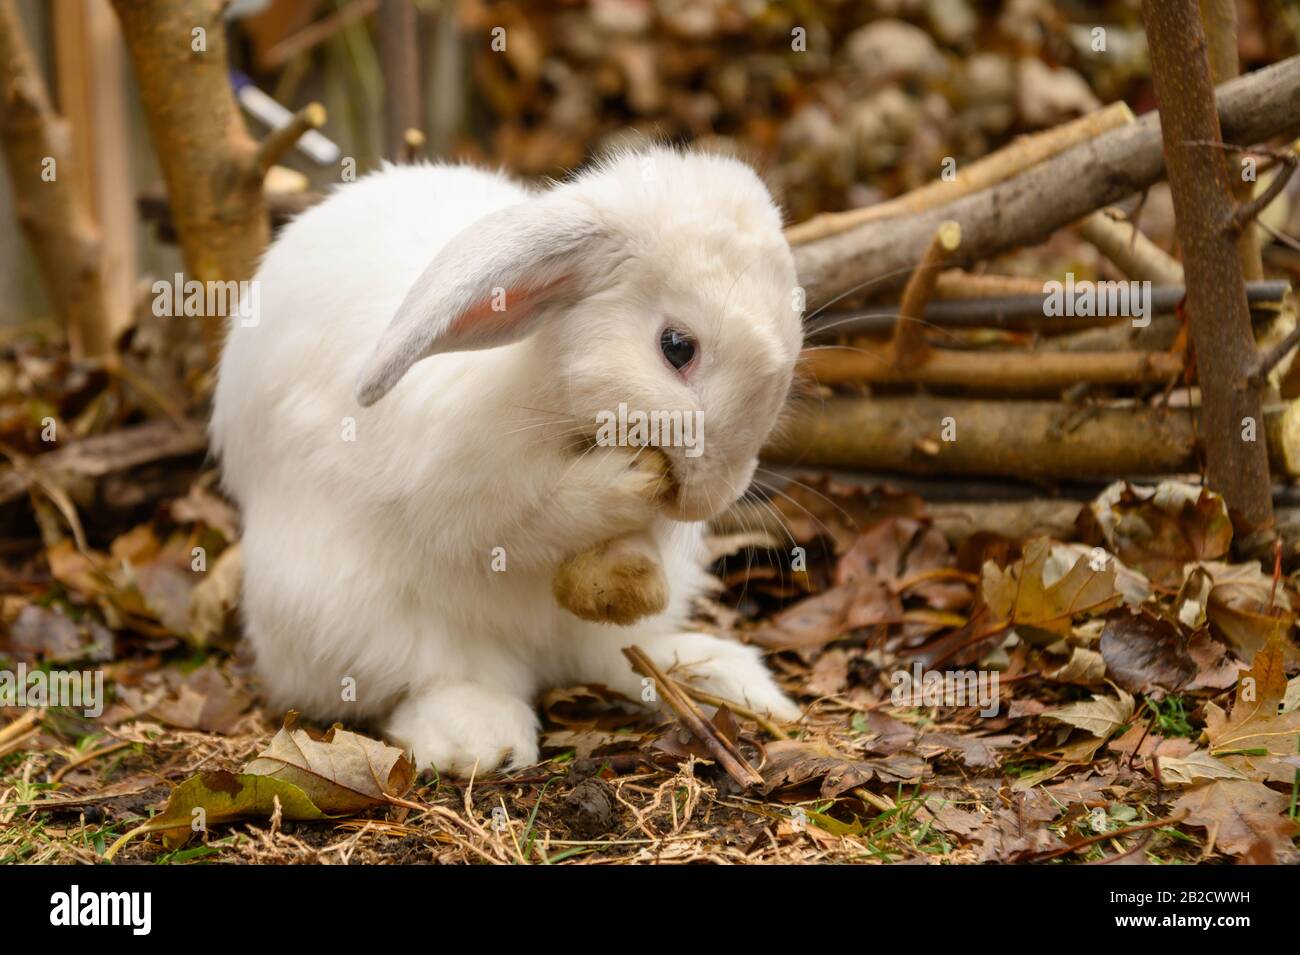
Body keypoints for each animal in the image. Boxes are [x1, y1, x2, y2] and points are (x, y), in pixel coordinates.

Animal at [211, 147, 800, 779]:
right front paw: (618, 485)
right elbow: (531, 517)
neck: (558, 397)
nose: (710, 497)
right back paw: (477, 737)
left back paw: (727, 679)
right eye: (676, 347)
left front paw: (627, 578)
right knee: (427, 679)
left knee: (613, 658)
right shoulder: (466, 492)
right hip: (346, 613)